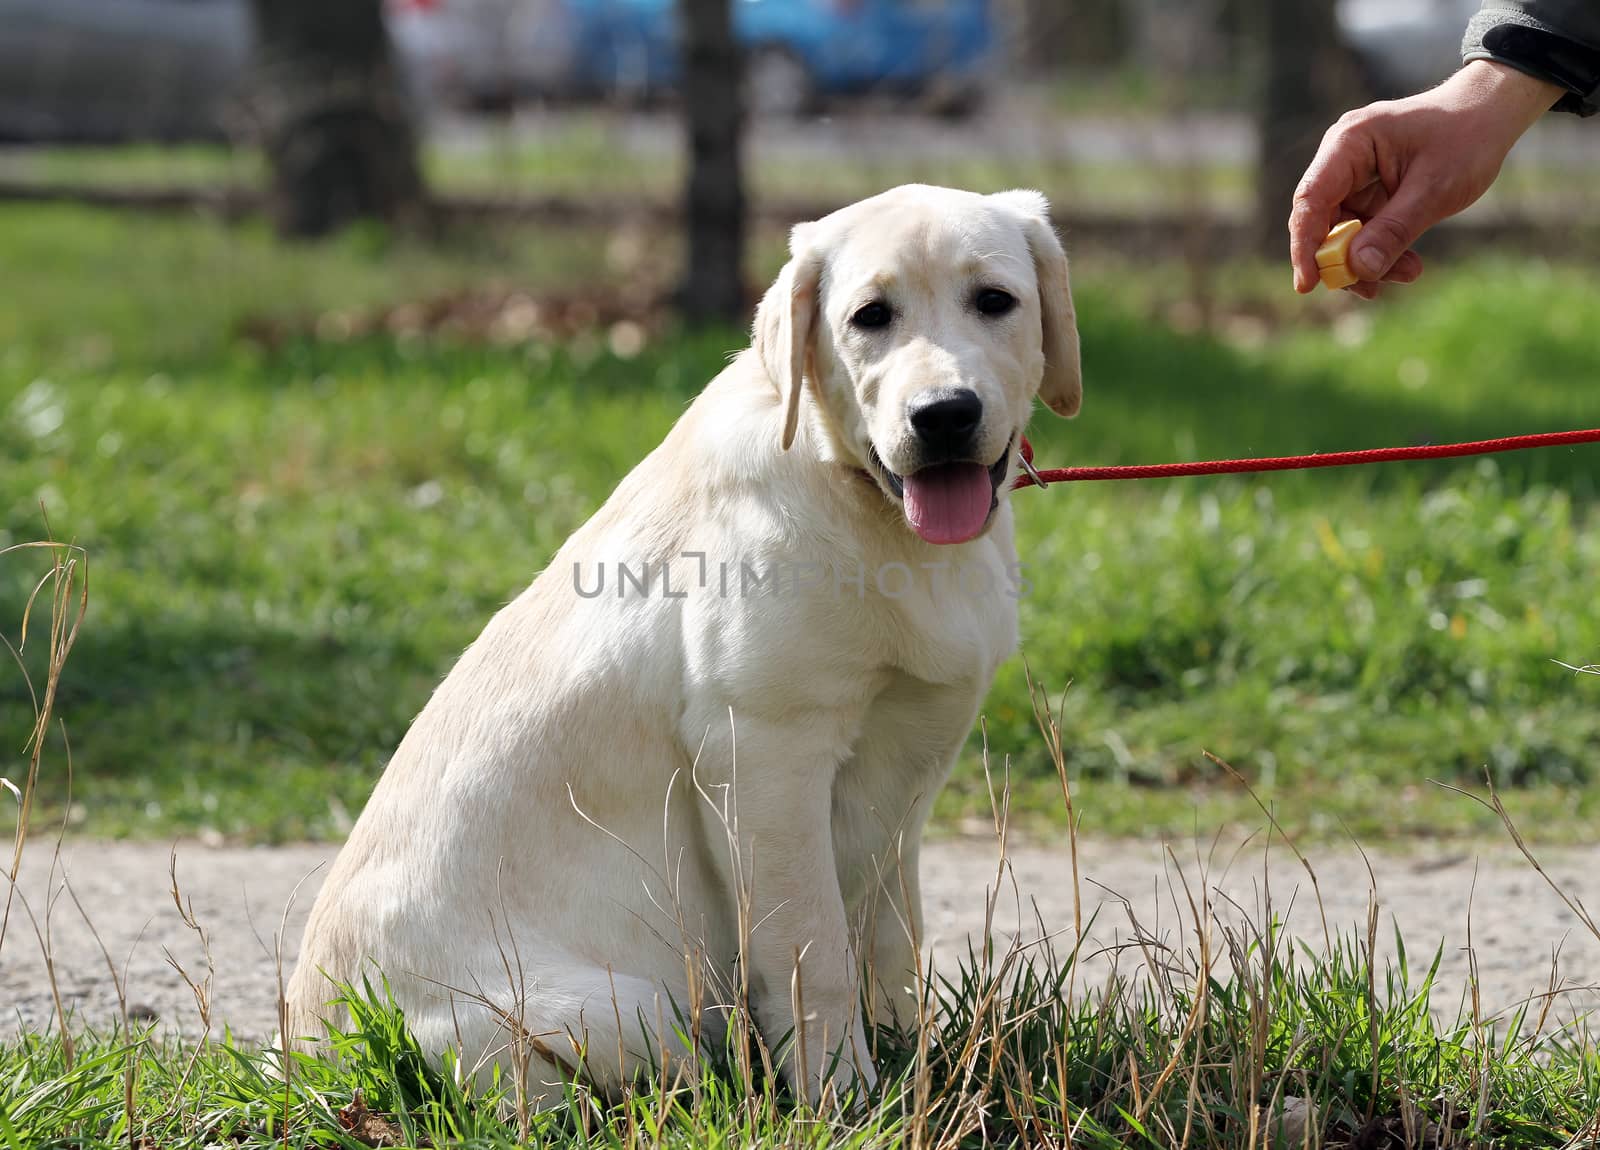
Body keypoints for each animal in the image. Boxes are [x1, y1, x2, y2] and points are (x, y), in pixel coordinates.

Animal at [292, 184, 1081, 1100]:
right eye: (869, 317)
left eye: (995, 301)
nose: (944, 416)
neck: (852, 489)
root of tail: (299, 1060)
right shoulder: (764, 754)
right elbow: (814, 953)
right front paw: (845, 1100)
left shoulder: (904, 780)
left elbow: (892, 947)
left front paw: (911, 1074)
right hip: (625, 1011)